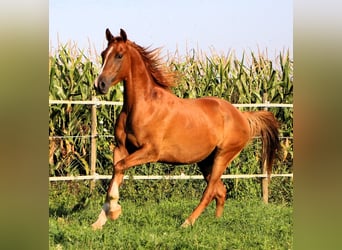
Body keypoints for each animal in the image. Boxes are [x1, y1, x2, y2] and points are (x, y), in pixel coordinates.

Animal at [91, 28, 280, 229]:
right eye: (103, 54)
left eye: (119, 55)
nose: (99, 84)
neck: (142, 107)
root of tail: (241, 116)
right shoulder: (121, 148)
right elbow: (116, 172)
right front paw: (100, 221)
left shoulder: (150, 152)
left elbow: (118, 168)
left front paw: (114, 212)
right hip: (206, 161)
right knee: (220, 191)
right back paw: (216, 221)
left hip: (223, 156)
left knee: (210, 191)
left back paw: (187, 223)